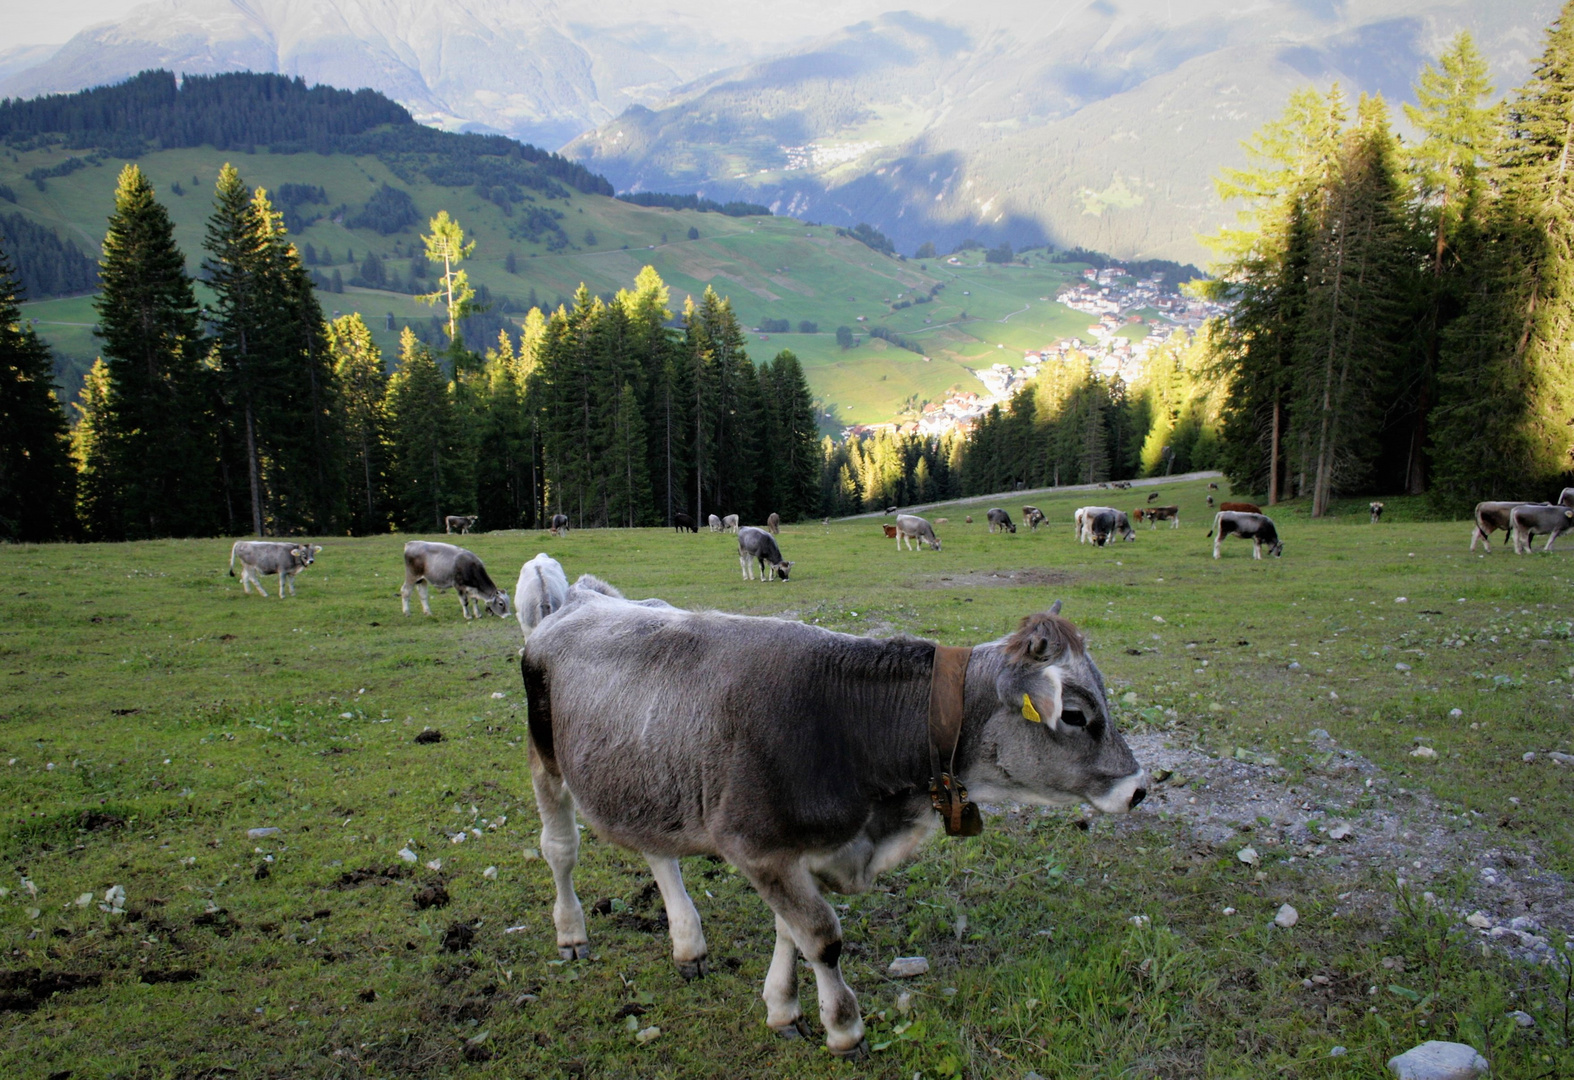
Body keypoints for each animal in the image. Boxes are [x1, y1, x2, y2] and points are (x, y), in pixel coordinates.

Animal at [522, 601, 1152, 1057]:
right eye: (1076, 715)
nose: (1138, 788)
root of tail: (576, 604)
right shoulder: (757, 846)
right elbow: (821, 937)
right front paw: (845, 1030)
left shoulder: (804, 850)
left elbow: (791, 931)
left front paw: (782, 1007)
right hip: (546, 760)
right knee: (560, 849)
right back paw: (571, 932)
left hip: (652, 777)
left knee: (659, 852)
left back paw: (687, 944)